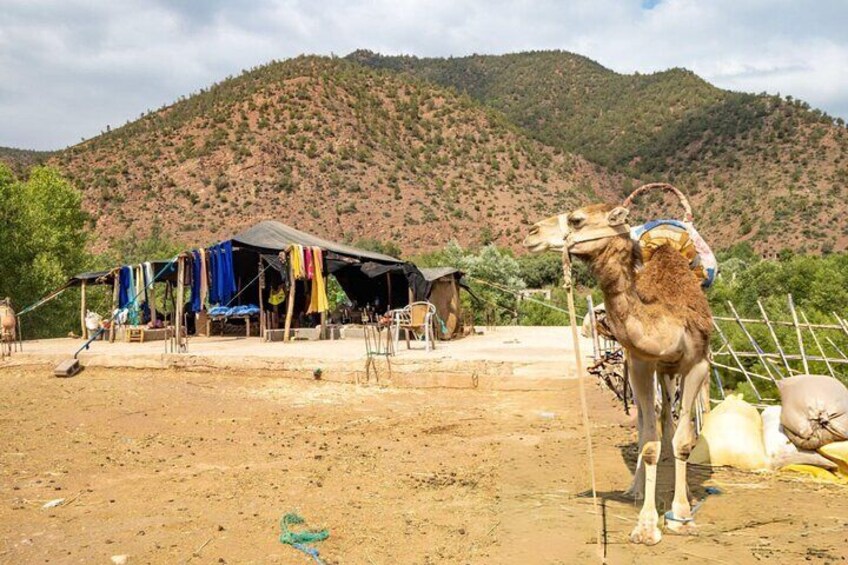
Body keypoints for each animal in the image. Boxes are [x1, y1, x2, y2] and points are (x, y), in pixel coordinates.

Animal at [523, 204, 713, 545]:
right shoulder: (640, 362)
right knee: (650, 420)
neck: (666, 318)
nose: (532, 233)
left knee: (670, 417)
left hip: (672, 371)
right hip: (654, 371)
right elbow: (649, 442)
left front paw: (680, 516)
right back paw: (635, 488)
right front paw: (647, 526)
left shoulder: (698, 363)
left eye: (577, 219)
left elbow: (683, 441)